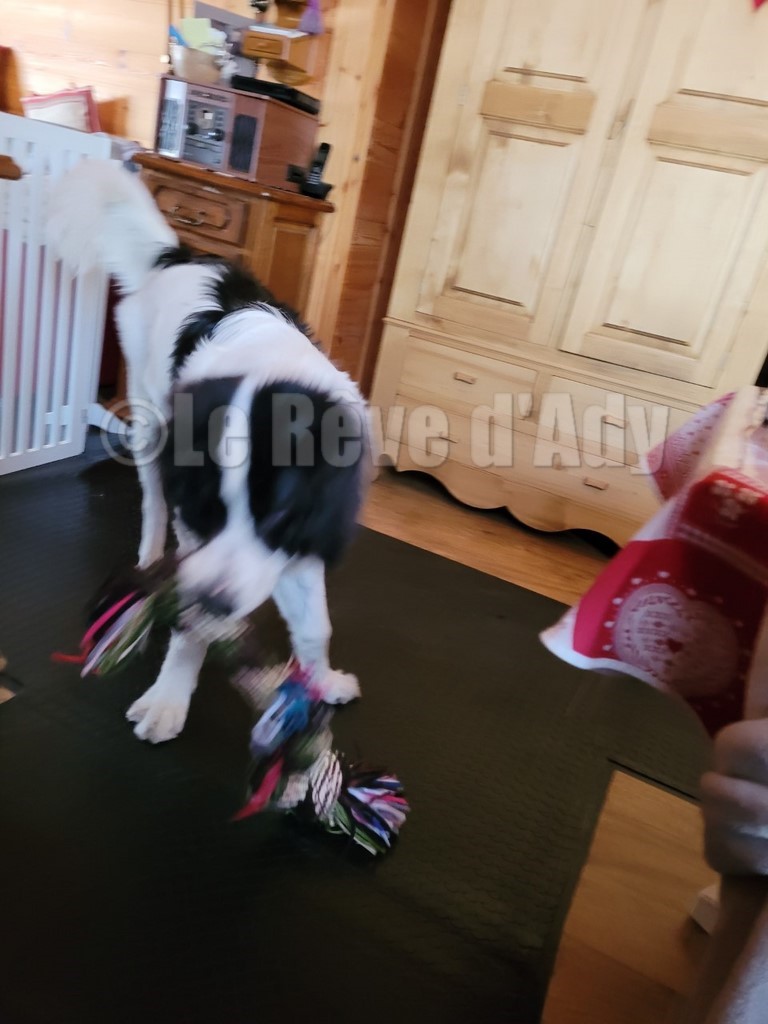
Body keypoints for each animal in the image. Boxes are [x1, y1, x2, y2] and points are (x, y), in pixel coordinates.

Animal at [48, 160, 369, 743]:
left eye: (280, 515)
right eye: (209, 510)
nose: (219, 601)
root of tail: (178, 255)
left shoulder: (302, 537)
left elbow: (316, 625)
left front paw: (321, 680)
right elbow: (191, 623)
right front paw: (169, 698)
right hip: (148, 422)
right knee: (153, 504)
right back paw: (150, 560)